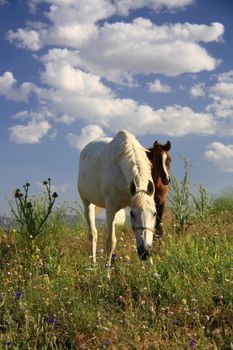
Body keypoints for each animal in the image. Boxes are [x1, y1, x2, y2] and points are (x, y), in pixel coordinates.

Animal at [78, 131, 157, 266]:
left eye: (155, 213)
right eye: (132, 214)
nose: (145, 252)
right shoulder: (111, 208)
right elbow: (111, 241)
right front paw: (107, 269)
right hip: (87, 203)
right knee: (93, 234)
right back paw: (93, 264)